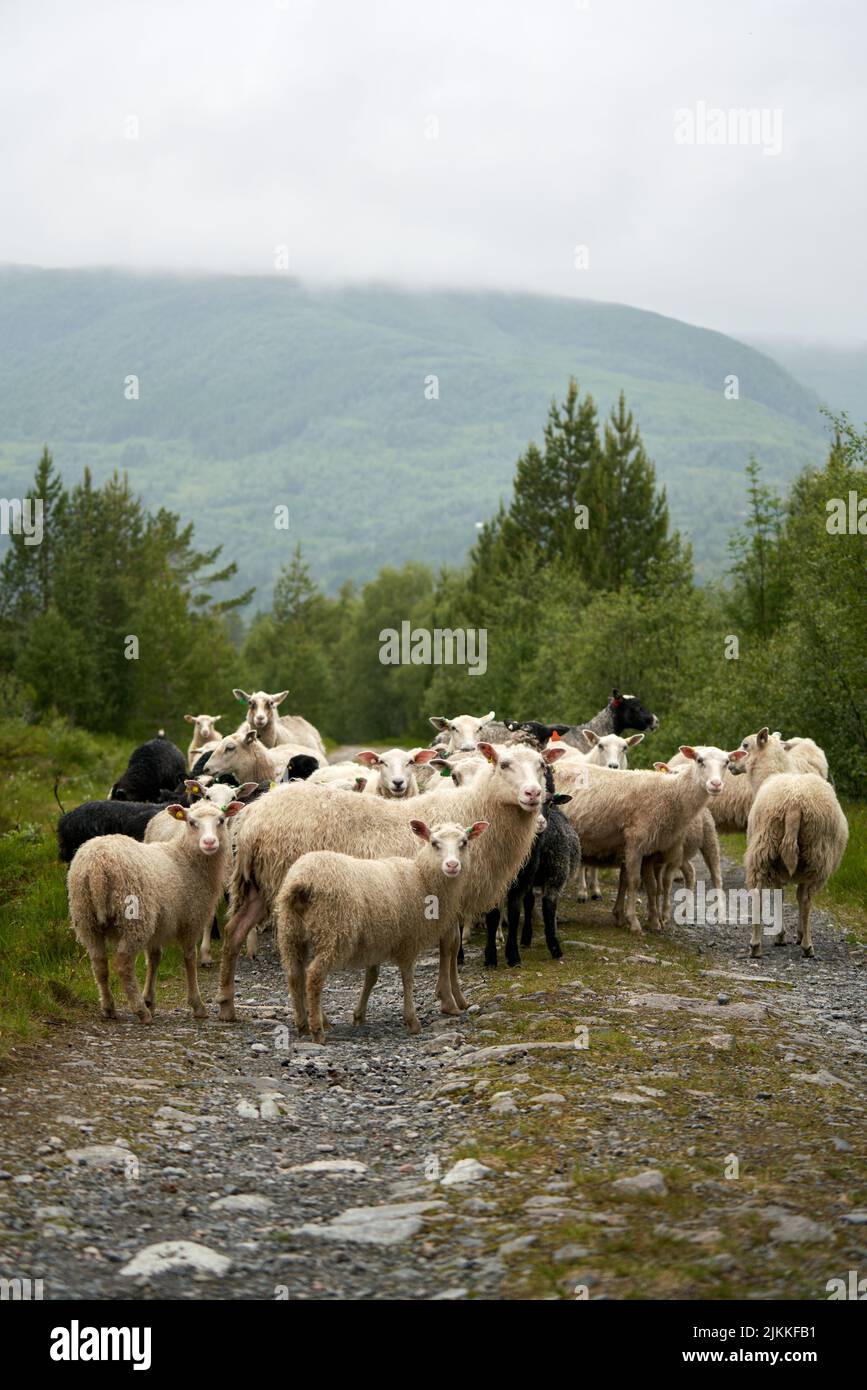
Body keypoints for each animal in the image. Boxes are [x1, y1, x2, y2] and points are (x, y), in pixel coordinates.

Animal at [66, 795, 244, 1023]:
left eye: (221, 820)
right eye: (191, 822)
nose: (209, 842)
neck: (185, 858)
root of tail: (97, 865)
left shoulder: (159, 924)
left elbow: (154, 958)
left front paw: (150, 999)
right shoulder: (191, 919)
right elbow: (189, 958)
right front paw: (196, 1004)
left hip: (86, 918)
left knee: (99, 963)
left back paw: (108, 1008)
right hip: (134, 917)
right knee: (123, 964)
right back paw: (140, 1011)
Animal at [273, 811, 489, 1045]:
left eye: (464, 843)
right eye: (434, 843)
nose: (452, 865)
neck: (422, 879)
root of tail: (302, 881)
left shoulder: (376, 939)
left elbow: (372, 976)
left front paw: (359, 1015)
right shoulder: (408, 940)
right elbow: (407, 977)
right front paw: (412, 1021)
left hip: (290, 932)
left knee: (295, 975)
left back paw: (303, 1024)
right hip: (334, 933)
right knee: (313, 976)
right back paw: (317, 1030)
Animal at [552, 745, 733, 939]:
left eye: (727, 763)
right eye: (699, 760)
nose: (716, 784)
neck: (671, 794)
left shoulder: (650, 851)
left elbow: (645, 884)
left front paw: (641, 920)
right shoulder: (635, 841)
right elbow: (634, 881)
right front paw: (634, 922)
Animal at [728, 728, 850, 956]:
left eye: (745, 745)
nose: (730, 760)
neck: (770, 773)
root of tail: (794, 803)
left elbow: (779, 896)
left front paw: (781, 935)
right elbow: (794, 897)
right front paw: (796, 934)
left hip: (764, 845)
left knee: (759, 893)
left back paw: (756, 945)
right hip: (816, 852)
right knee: (807, 898)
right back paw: (807, 945)